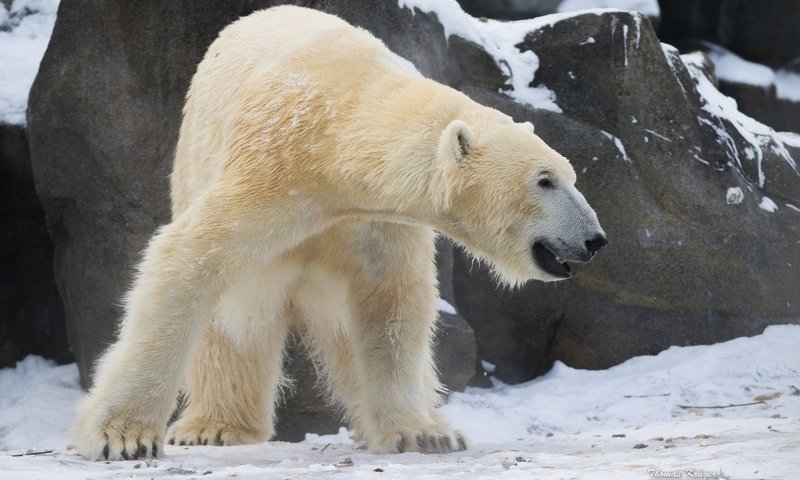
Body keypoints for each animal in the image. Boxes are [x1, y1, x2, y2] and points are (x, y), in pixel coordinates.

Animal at [73, 5, 608, 460]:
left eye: (571, 175)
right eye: (545, 180)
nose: (594, 239)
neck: (338, 129)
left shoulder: (374, 218)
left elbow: (389, 304)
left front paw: (421, 433)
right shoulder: (270, 170)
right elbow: (190, 260)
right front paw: (122, 437)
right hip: (194, 159)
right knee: (240, 313)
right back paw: (217, 426)